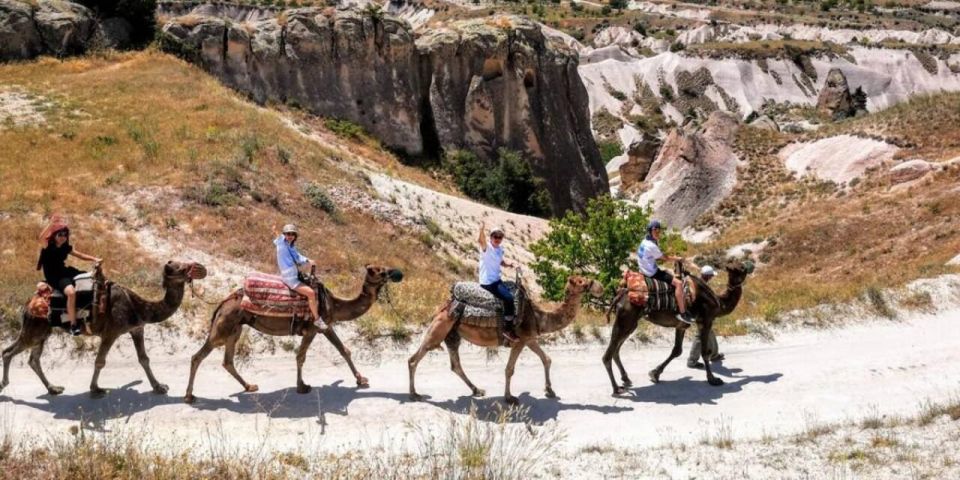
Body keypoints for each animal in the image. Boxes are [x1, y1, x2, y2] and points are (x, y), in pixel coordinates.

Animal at [2, 260, 206, 400]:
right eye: (182, 267)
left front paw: (159, 387)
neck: (140, 307)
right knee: (8, 352)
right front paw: (95, 389)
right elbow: (100, 361)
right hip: (34, 327)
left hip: (42, 331)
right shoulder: (111, 332)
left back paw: (53, 389)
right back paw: (4, 385)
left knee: (33, 359)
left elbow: (144, 359)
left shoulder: (137, 329)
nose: (202, 267)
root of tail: (29, 302)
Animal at [184, 264, 402, 404]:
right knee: (198, 356)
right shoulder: (313, 328)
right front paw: (302, 386)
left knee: (228, 361)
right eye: (381, 271)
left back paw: (249, 386)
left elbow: (344, 350)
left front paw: (361, 379)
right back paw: (189, 396)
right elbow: (301, 356)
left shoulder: (326, 325)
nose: (397, 272)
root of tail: (223, 302)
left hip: (235, 328)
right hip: (223, 328)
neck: (333, 303)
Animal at [406, 274, 604, 404]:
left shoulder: (529, 338)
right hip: (440, 328)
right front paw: (509, 398)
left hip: (452, 334)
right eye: (581, 281)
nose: (599, 286)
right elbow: (509, 369)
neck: (538, 316)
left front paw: (550, 391)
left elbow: (546, 359)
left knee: (455, 365)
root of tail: (445, 304)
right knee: (414, 359)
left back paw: (477, 390)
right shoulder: (520, 340)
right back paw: (415, 394)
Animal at [604, 258, 752, 394]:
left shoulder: (681, 326)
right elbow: (705, 352)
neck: (719, 303)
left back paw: (626, 379)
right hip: (626, 318)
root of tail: (621, 293)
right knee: (608, 355)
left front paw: (655, 373)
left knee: (616, 350)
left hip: (630, 323)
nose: (750, 266)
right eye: (742, 268)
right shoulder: (706, 321)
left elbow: (677, 350)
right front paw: (713, 379)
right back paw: (616, 389)